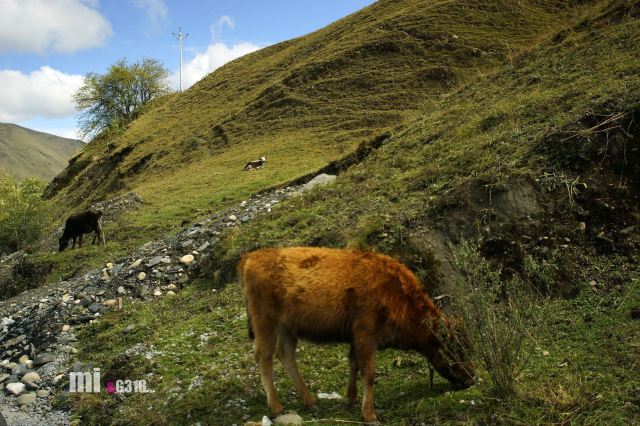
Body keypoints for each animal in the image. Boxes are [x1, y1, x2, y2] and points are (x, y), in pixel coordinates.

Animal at [238, 246, 472, 422]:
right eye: (455, 349)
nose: (472, 378)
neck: (396, 293)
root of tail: (252, 257)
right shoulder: (366, 334)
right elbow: (368, 372)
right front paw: (369, 414)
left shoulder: (356, 337)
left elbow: (354, 363)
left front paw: (352, 399)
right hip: (266, 323)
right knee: (264, 357)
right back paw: (277, 407)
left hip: (287, 328)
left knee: (286, 355)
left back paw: (310, 401)